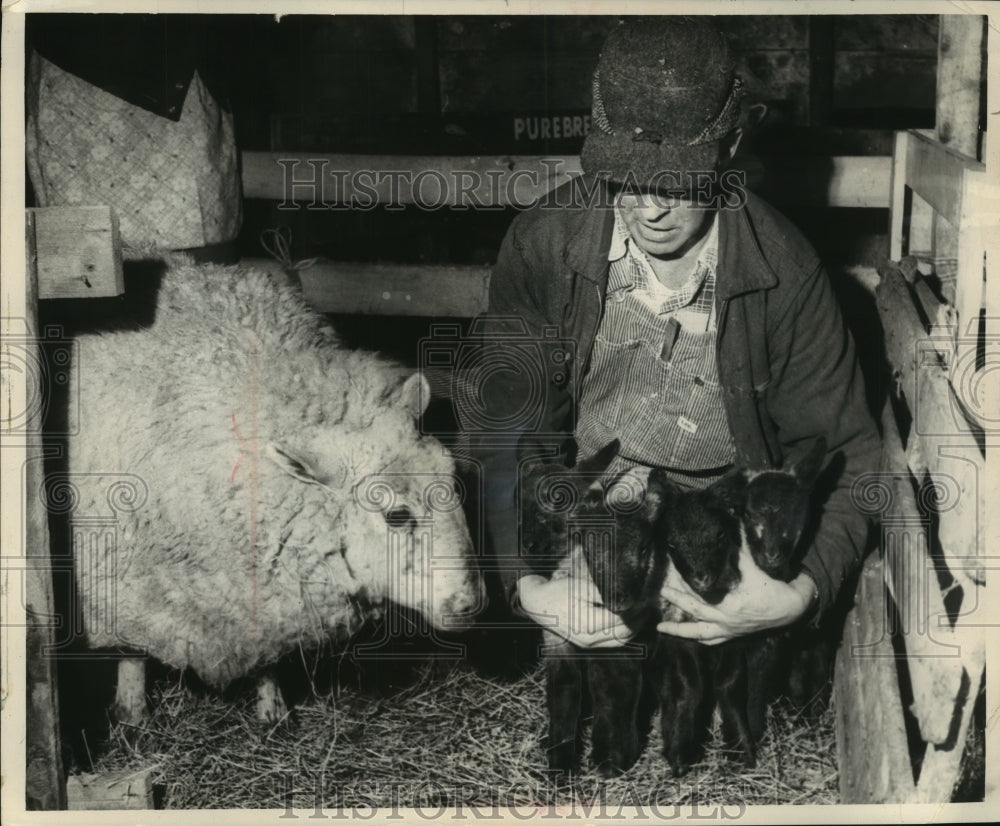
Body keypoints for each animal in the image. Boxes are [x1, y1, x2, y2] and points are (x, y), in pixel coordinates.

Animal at [62, 258, 484, 720]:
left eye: (454, 484)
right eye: (396, 515)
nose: (471, 604)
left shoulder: (264, 601)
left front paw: (272, 708)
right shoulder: (119, 584)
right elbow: (131, 649)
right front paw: (133, 711)